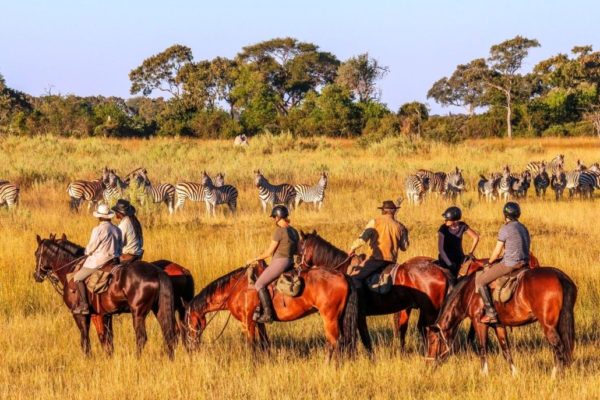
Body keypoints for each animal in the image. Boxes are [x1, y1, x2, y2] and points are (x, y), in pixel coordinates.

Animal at [33, 233, 177, 358]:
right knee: (168, 335)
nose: (36, 275)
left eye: (37, 253)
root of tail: (157, 272)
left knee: (141, 337)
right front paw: (108, 357)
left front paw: (87, 357)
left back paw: (137, 359)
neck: (71, 269)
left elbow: (85, 337)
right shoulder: (104, 314)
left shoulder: (80, 314)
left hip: (138, 313)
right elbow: (107, 339)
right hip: (158, 310)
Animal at [183, 260, 358, 360]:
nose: (190, 347)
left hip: (330, 318)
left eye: (188, 322)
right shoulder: (259, 322)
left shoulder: (247, 322)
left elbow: (251, 345)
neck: (237, 289)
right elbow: (264, 344)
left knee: (334, 343)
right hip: (338, 318)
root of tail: (343, 276)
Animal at [298, 230, 452, 354]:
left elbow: (365, 339)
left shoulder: (358, 315)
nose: (298, 270)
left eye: (299, 251)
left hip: (429, 312)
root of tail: (441, 271)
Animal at [426, 266, 576, 376]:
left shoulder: (479, 323)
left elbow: (482, 348)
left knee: (558, 348)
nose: (429, 364)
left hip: (548, 326)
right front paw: (514, 373)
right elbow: (506, 349)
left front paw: (484, 374)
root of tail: (559, 276)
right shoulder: (498, 325)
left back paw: (554, 376)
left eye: (433, 341)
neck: (468, 292)